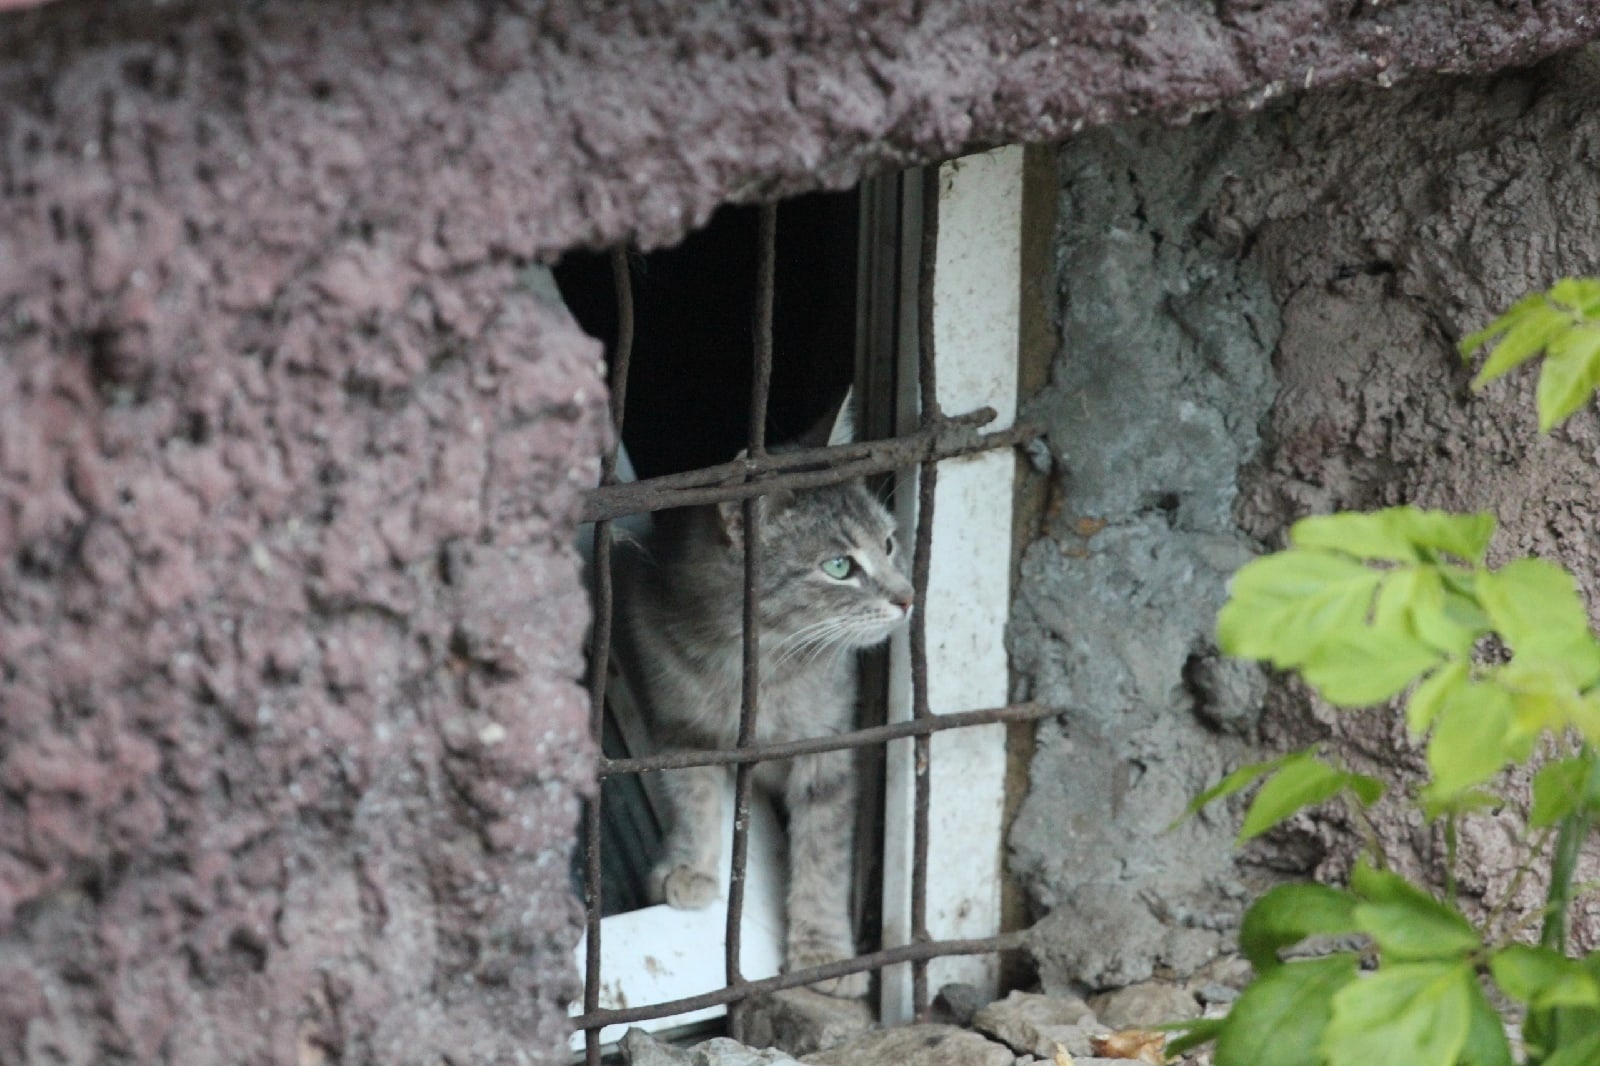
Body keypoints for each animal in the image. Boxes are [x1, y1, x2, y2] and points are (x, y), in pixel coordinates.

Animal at [611, 396, 915, 998]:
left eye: (889, 544)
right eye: (840, 566)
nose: (908, 597)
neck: (761, 670)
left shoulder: (827, 746)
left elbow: (823, 851)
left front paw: (823, 951)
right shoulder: (678, 725)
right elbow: (692, 796)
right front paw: (691, 865)